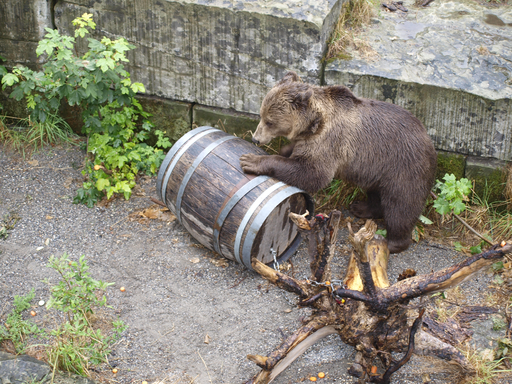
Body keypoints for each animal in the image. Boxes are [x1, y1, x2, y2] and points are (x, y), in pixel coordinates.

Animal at [240, 71, 436, 254]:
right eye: (261, 115)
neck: (313, 125)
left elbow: (312, 173)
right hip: (377, 170)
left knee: (400, 208)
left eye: (269, 122)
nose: (256, 138)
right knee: (376, 193)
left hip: (403, 168)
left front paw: (250, 160)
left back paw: (391, 242)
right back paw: (360, 207)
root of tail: (430, 143)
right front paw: (284, 150)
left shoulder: (330, 142)